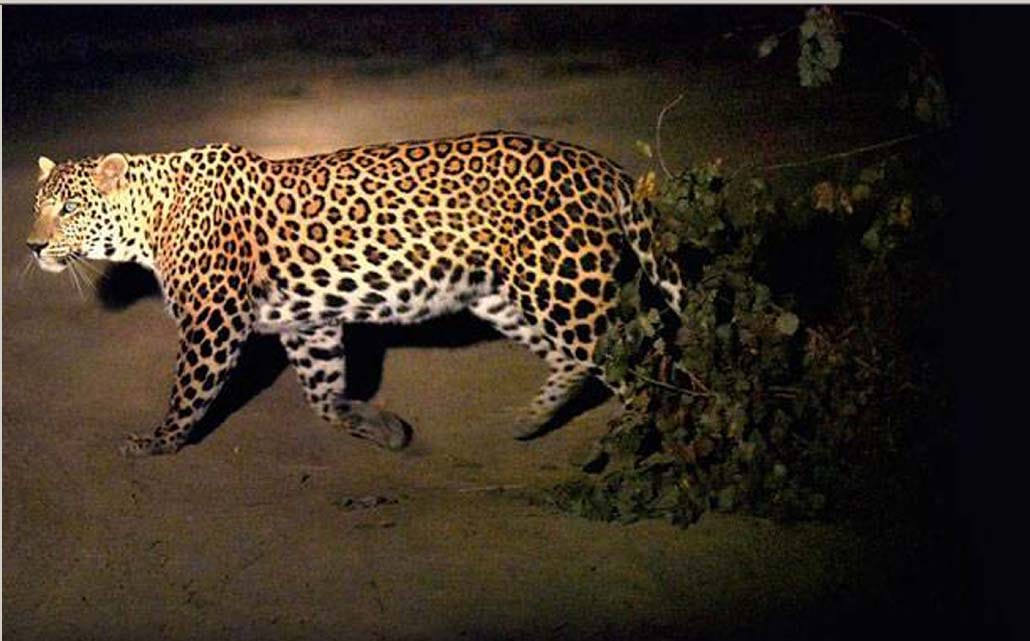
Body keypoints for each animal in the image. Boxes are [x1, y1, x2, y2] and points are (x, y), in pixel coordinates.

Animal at [28, 131, 685, 457]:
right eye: (38, 206)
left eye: (69, 209)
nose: (32, 246)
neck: (150, 219)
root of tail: (601, 166)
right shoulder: (308, 322)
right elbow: (322, 394)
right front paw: (380, 426)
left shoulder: (213, 321)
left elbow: (189, 390)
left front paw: (157, 442)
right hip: (505, 293)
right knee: (579, 359)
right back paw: (529, 420)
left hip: (560, 284)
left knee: (636, 359)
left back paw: (636, 441)